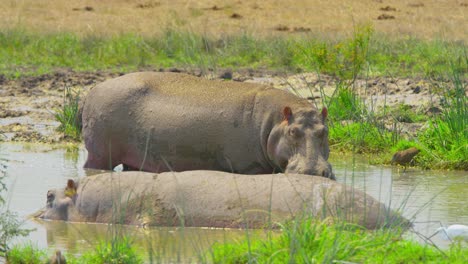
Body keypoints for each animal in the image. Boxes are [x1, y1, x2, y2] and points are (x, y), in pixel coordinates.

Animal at [81, 72, 336, 179]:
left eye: (324, 131)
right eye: (293, 131)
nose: (314, 171)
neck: (274, 121)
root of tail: (94, 89)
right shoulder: (249, 167)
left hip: (135, 158)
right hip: (100, 154)